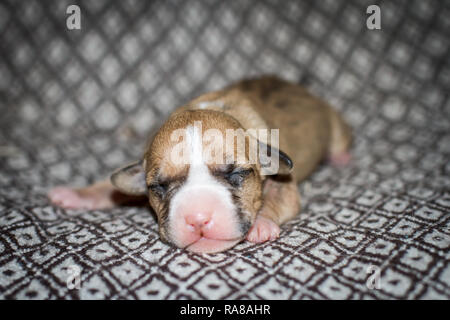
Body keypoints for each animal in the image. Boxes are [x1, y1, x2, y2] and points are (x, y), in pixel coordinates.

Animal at [49, 75, 352, 252]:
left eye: (237, 174)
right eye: (158, 187)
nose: (198, 219)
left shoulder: (284, 182)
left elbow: (277, 198)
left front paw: (260, 223)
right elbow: (111, 187)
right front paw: (78, 194)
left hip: (334, 122)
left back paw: (341, 157)